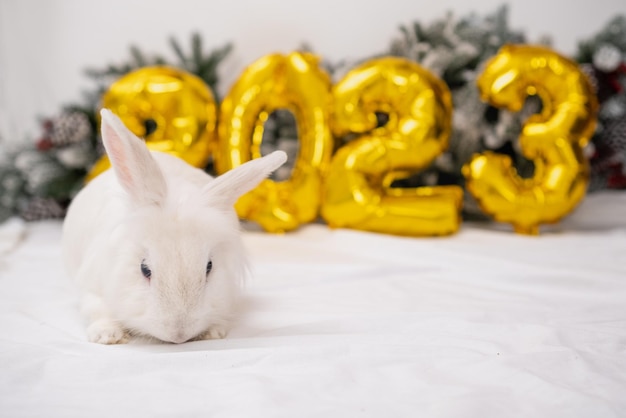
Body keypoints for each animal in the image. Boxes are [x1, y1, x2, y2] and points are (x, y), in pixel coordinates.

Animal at [61, 109, 286, 344]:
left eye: (209, 267)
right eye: (144, 269)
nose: (179, 336)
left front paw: (214, 332)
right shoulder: (91, 288)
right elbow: (97, 310)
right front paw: (107, 335)